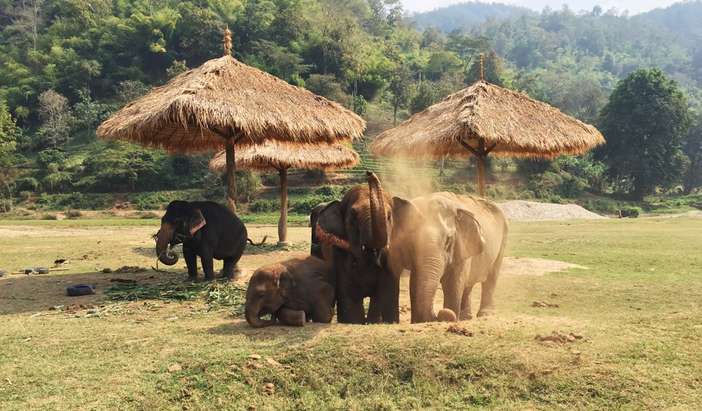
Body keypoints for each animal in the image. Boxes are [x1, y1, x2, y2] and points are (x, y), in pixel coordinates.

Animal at [313, 172, 399, 324]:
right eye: (353, 216)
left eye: (389, 217)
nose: (369, 173)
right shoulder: (339, 254)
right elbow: (349, 295)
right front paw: (354, 321)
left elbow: (387, 290)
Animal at [386, 192, 508, 323]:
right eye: (410, 241)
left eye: (448, 241)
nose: (439, 314)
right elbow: (415, 279)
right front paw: (417, 321)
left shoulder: (461, 246)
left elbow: (454, 282)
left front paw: (451, 315)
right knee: (469, 284)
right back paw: (465, 317)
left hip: (503, 239)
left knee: (491, 277)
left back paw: (485, 314)